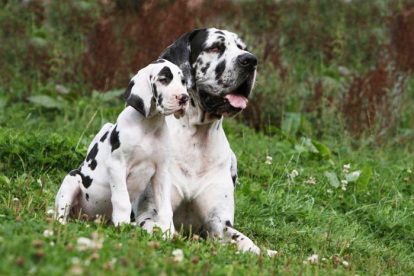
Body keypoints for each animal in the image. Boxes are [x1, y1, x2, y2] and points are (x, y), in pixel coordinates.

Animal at [55, 59, 189, 231]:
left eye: (183, 81)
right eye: (163, 79)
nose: (184, 98)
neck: (148, 126)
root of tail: (85, 219)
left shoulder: (162, 172)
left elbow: (165, 207)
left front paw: (167, 230)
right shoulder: (117, 166)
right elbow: (122, 200)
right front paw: (122, 225)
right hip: (72, 179)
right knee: (60, 213)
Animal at [133, 28, 274, 256]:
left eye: (242, 47)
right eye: (215, 47)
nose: (250, 60)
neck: (197, 141)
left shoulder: (219, 222)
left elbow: (246, 242)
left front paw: (260, 251)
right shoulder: (150, 215)